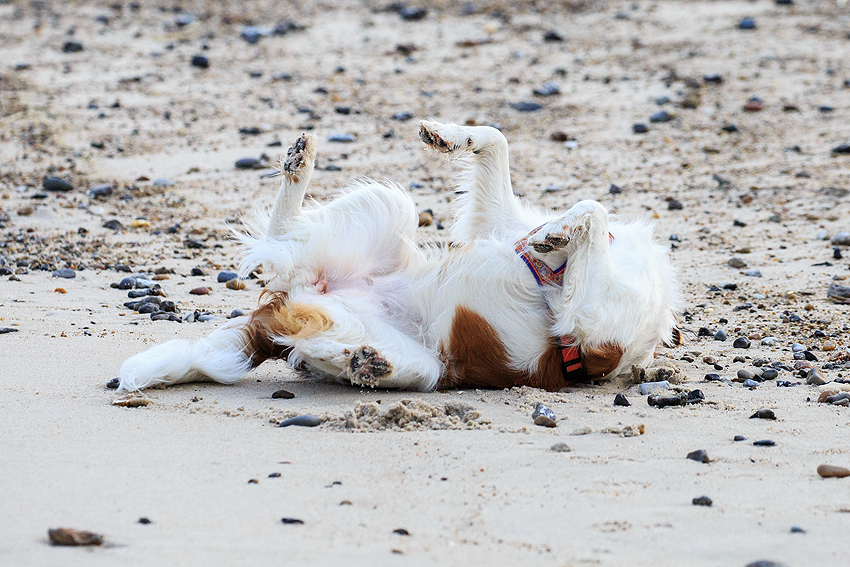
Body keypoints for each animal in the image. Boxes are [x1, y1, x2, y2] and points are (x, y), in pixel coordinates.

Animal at [116, 121, 680, 392]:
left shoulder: (588, 329)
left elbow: (594, 211)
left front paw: (560, 231)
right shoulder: (496, 225)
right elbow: (498, 142)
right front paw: (447, 135)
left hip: (427, 364)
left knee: (314, 326)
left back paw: (365, 362)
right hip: (391, 207)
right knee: (284, 239)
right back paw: (300, 160)